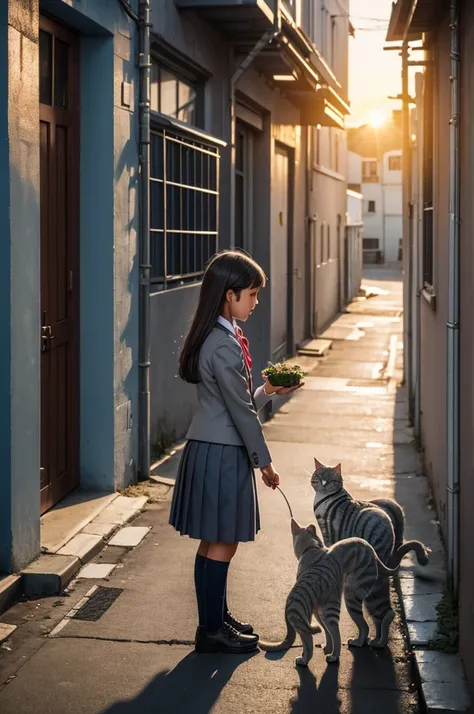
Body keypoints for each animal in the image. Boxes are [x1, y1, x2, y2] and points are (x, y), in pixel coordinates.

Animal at [260, 516, 400, 660]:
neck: (311, 548)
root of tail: (370, 548)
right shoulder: (318, 610)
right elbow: (327, 633)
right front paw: (327, 647)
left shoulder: (318, 611)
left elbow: (329, 633)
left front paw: (328, 650)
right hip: (360, 599)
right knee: (375, 619)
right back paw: (376, 642)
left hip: (349, 599)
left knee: (354, 629)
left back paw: (335, 655)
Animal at [312, 456, 430, 644]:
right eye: (319, 476)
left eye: (330, 479)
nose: (324, 483)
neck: (322, 498)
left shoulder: (327, 530)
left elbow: (328, 544)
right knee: (381, 614)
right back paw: (376, 641)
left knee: (383, 614)